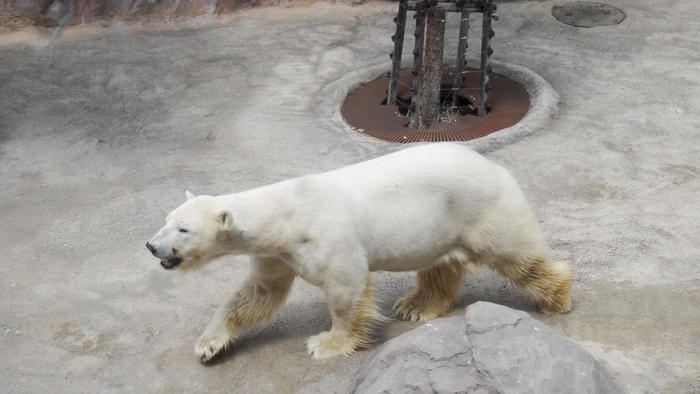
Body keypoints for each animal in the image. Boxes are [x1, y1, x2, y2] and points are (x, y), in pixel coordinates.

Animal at [145, 143, 572, 362]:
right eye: (166, 219)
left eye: (183, 229)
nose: (152, 246)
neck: (285, 212)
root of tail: (493, 165)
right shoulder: (276, 253)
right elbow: (257, 294)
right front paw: (208, 344)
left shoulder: (325, 237)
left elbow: (345, 289)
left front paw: (326, 344)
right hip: (441, 226)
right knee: (440, 266)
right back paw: (415, 306)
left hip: (481, 208)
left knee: (517, 256)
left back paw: (557, 297)